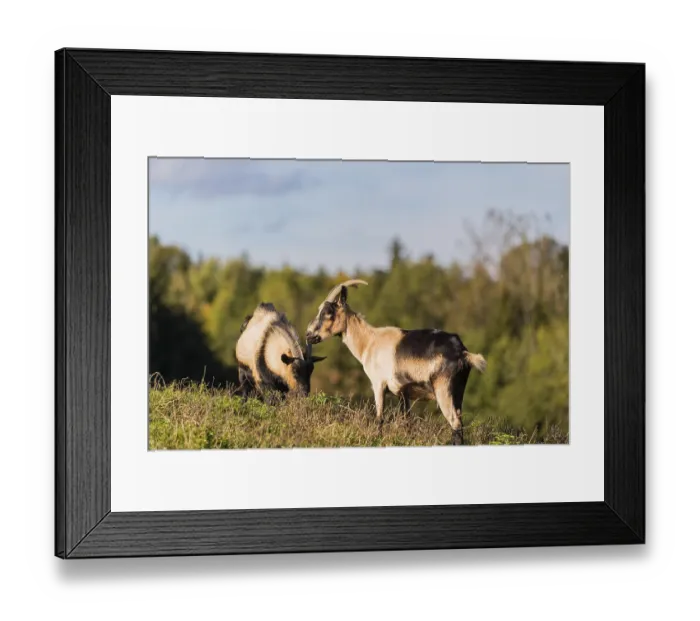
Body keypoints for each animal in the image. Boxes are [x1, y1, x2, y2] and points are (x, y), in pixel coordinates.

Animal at [305, 281, 486, 445]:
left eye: (328, 312)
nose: (308, 335)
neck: (369, 341)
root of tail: (462, 352)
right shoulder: (403, 393)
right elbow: (406, 422)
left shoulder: (378, 383)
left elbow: (380, 417)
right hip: (458, 390)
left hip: (443, 388)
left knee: (455, 422)